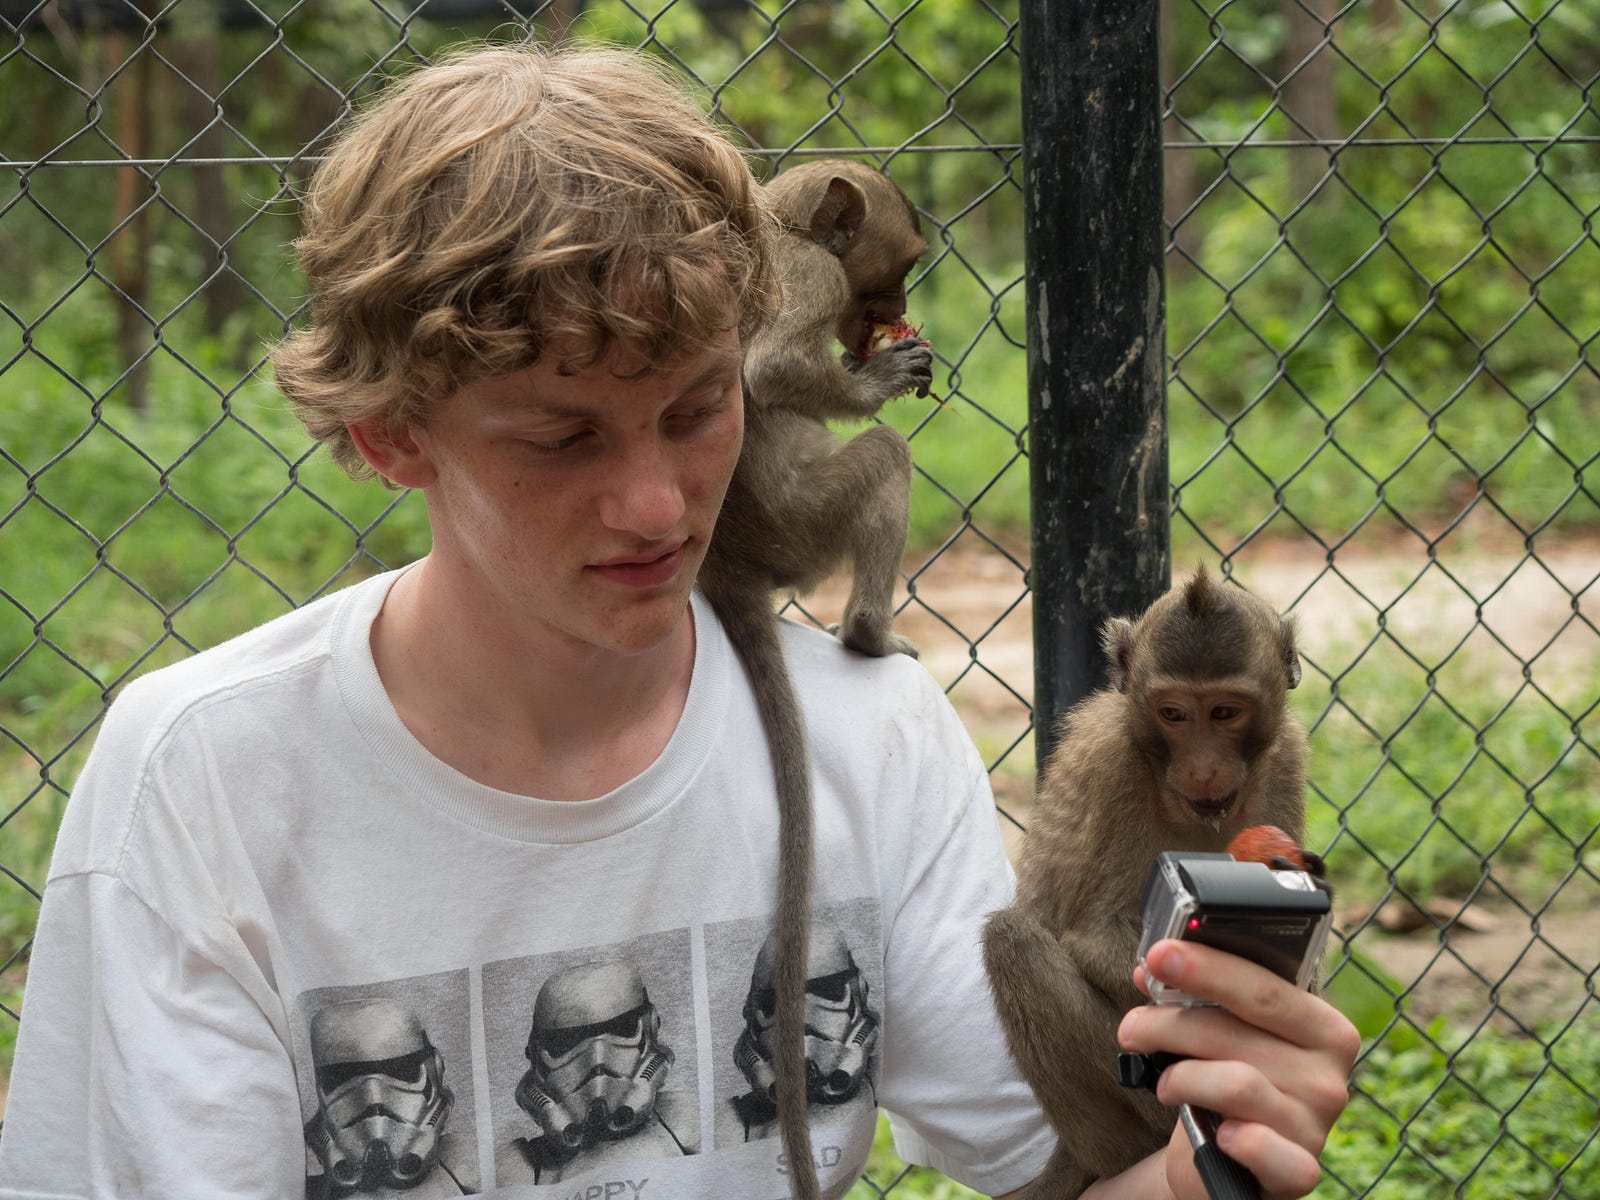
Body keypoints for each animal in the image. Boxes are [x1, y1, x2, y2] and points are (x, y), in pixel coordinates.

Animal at [981, 567, 1309, 1199]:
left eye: (1224, 712)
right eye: (1173, 714)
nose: (1203, 767)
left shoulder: (1287, 756)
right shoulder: (1117, 769)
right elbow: (1097, 936)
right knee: (1012, 941)